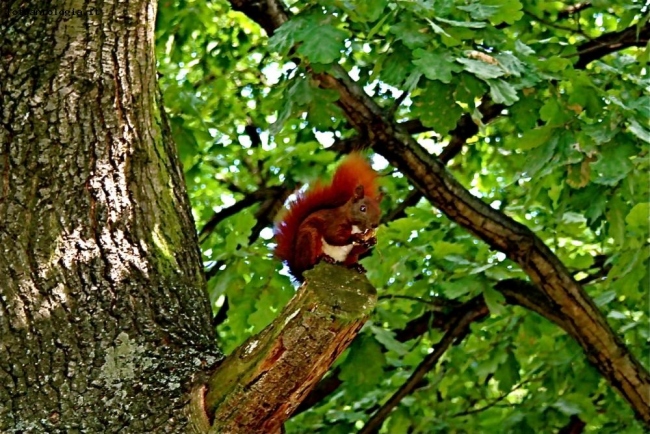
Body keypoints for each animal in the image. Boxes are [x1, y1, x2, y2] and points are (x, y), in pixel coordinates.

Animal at [272, 153, 380, 282]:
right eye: (362, 208)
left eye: (380, 211)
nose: (375, 224)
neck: (356, 227)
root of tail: (299, 271)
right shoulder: (334, 221)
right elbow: (332, 236)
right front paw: (355, 237)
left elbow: (358, 248)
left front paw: (372, 241)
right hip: (309, 238)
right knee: (310, 263)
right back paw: (322, 259)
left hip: (348, 257)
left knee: (349, 261)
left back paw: (356, 266)